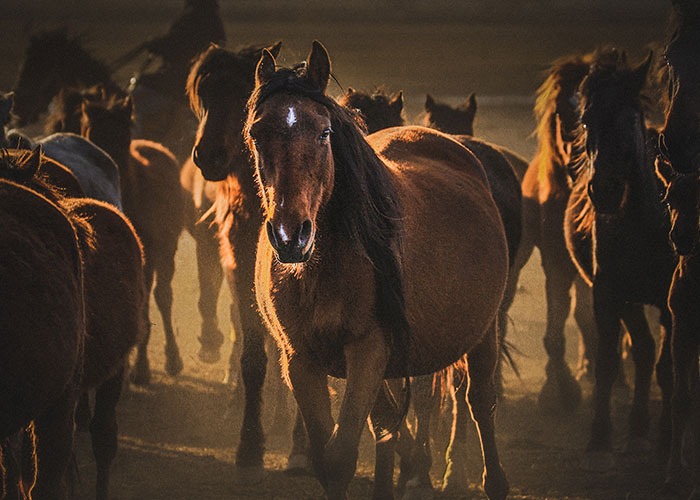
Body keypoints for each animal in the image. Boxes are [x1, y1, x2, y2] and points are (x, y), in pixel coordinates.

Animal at [80, 94, 186, 383]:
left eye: (122, 135)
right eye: (91, 134)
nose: (107, 167)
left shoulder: (149, 254)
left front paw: (141, 369)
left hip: (167, 250)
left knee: (163, 296)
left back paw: (172, 360)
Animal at [237, 40, 510, 500]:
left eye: (324, 133)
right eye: (257, 133)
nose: (291, 235)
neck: (322, 271)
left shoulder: (367, 351)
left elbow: (343, 454)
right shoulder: (301, 362)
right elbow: (328, 458)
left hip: (482, 332)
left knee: (479, 402)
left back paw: (492, 481)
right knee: (387, 423)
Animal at [563, 49, 675, 468]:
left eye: (630, 118)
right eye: (585, 120)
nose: (605, 190)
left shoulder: (670, 303)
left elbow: (668, 369)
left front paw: (666, 442)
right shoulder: (609, 293)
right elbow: (609, 362)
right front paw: (600, 437)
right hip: (628, 300)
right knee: (641, 351)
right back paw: (638, 427)